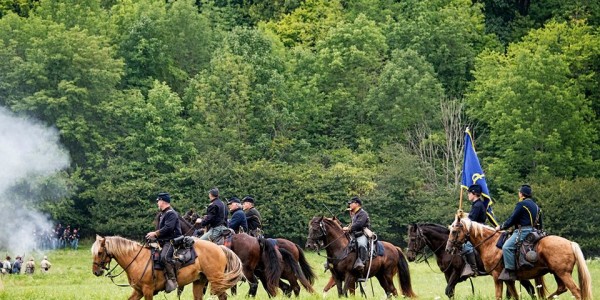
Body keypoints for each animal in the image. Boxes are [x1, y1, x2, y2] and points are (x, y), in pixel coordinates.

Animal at [92, 236, 244, 298]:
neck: (136, 260)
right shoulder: (138, 291)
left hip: (216, 280)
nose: (95, 272)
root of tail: (219, 247)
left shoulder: (147, 291)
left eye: (99, 253)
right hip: (199, 282)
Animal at [446, 216, 592, 300]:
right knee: (561, 289)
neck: (490, 243)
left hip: (564, 274)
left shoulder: (497, 277)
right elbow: (515, 296)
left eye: (454, 231)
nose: (448, 249)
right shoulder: (508, 280)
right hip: (558, 273)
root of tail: (570, 243)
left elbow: (499, 296)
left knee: (577, 292)